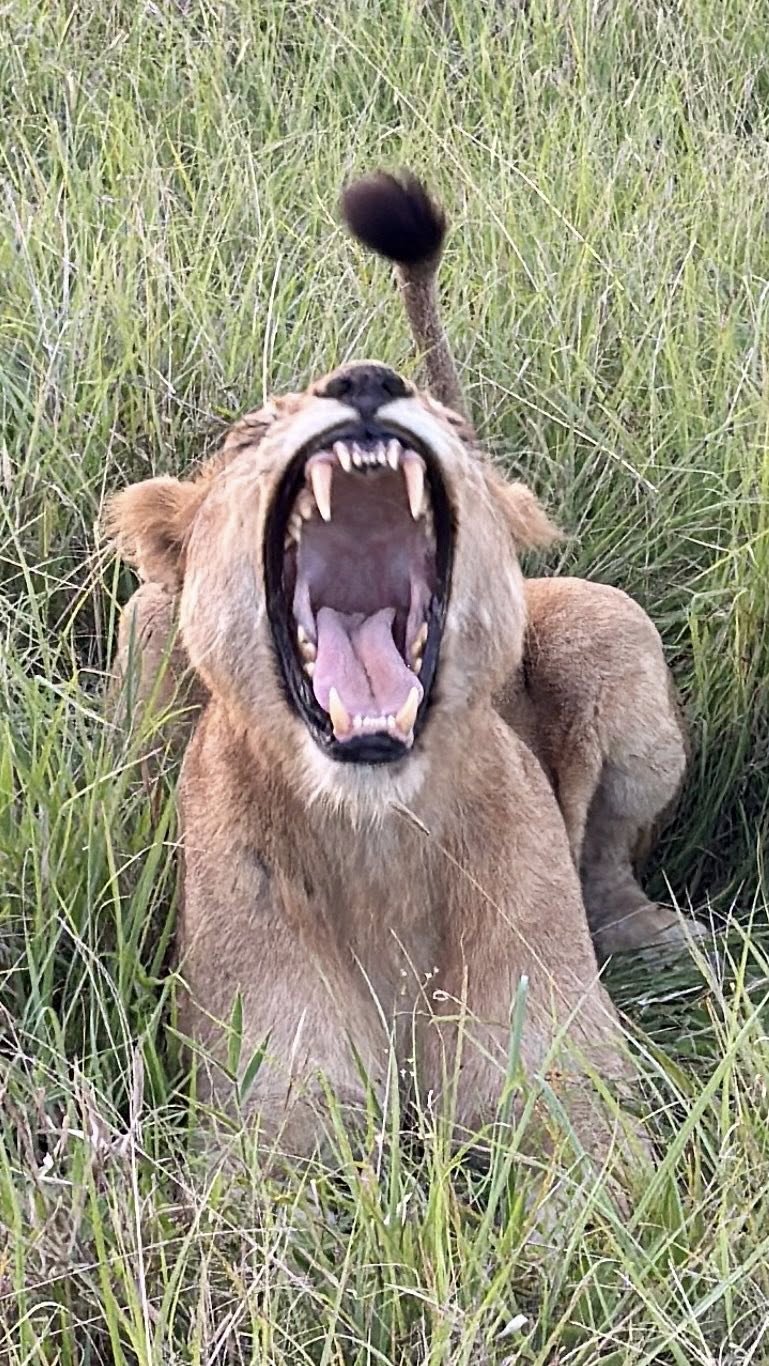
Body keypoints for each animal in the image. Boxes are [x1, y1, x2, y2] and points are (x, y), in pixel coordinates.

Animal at [106, 172, 697, 1165]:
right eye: (250, 433)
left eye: (446, 422)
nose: (369, 383)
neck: (376, 838)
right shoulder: (273, 1114)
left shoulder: (566, 1085)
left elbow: (596, 1189)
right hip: (143, 626)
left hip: (605, 624)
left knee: (608, 857)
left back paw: (658, 939)